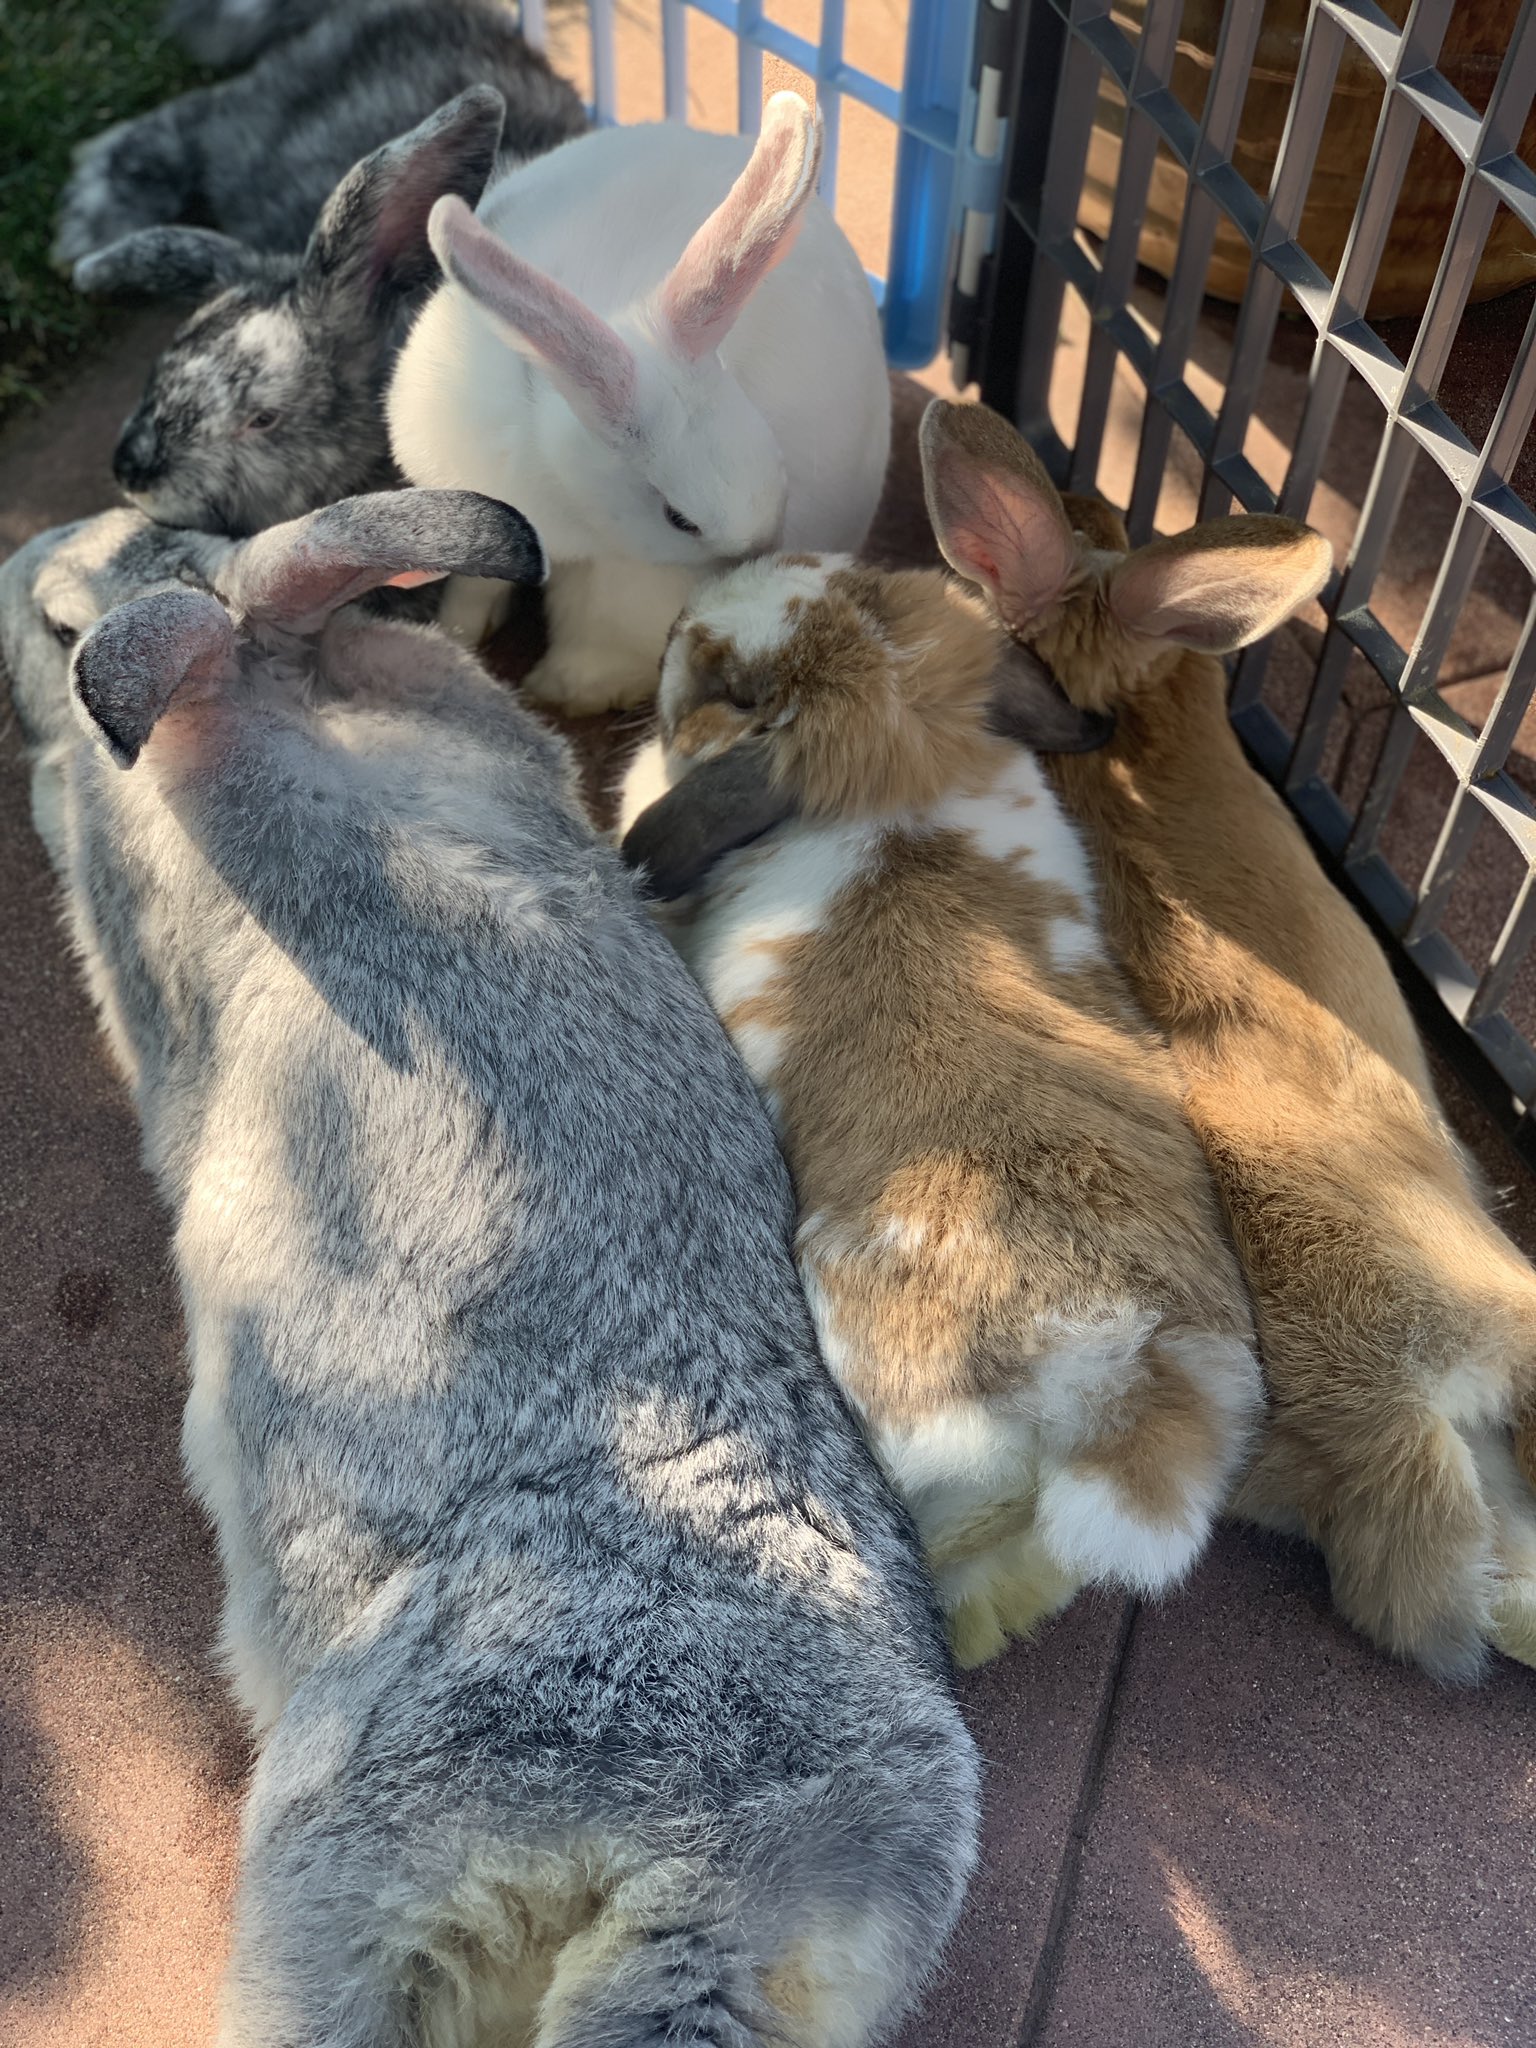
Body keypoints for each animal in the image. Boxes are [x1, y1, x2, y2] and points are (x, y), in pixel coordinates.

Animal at [387, 92, 893, 714]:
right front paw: (458, 632)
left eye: (780, 465)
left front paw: (552, 686)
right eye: (679, 518)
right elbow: (475, 587)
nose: (760, 553)